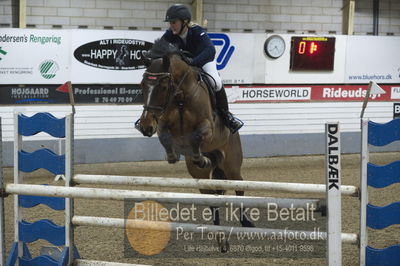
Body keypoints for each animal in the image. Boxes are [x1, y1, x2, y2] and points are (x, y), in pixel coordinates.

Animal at [136, 39, 255, 251]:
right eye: (142, 85)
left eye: (163, 86)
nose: (145, 126)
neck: (181, 97)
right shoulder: (164, 125)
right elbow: (166, 138)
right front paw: (175, 156)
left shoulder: (208, 127)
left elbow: (198, 136)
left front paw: (201, 157)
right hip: (202, 179)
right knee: (214, 201)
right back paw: (221, 239)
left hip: (233, 167)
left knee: (239, 189)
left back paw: (246, 222)